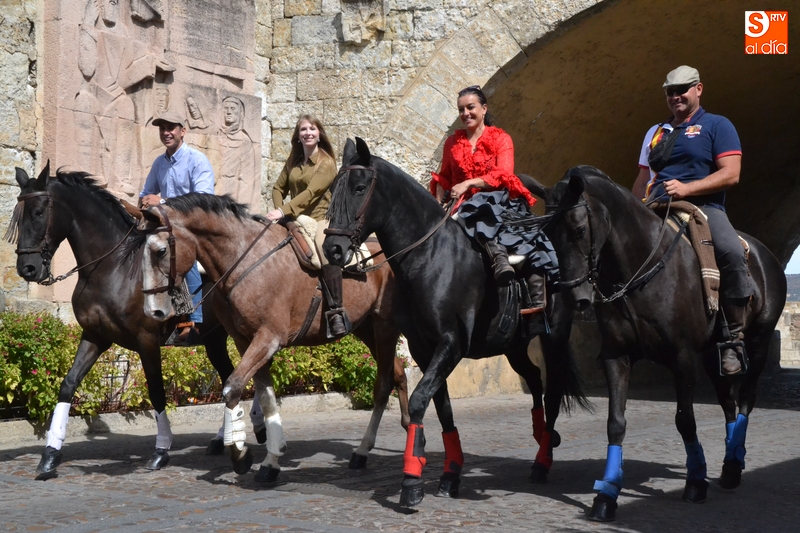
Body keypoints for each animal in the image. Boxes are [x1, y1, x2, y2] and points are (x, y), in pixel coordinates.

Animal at [6, 163, 241, 478]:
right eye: (18, 217)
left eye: (39, 212)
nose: (27, 268)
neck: (112, 267)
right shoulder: (94, 336)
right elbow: (68, 385)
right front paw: (50, 456)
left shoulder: (147, 341)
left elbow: (156, 391)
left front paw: (161, 451)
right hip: (215, 339)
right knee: (229, 377)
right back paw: (222, 438)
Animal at [138, 193, 410, 480]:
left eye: (160, 251)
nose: (153, 310)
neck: (245, 259)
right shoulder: (245, 341)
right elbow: (266, 398)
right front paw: (271, 459)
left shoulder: (268, 339)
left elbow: (232, 387)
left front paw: (240, 454)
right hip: (366, 328)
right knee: (397, 372)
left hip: (384, 326)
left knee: (383, 386)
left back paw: (365, 449)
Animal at [322, 138, 589, 508]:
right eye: (334, 188)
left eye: (360, 188)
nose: (332, 248)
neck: (430, 258)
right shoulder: (424, 349)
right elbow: (442, 408)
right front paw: (449, 474)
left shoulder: (451, 344)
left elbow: (420, 400)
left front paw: (411, 481)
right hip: (513, 345)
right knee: (535, 379)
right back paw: (540, 436)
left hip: (553, 340)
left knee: (550, 393)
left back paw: (542, 461)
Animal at [527, 166, 786, 522]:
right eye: (547, 234)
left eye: (579, 229)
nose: (569, 296)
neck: (639, 271)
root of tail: (764, 255)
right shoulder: (617, 356)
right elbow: (616, 423)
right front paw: (607, 493)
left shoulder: (682, 358)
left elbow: (685, 419)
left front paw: (695, 481)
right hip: (713, 355)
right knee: (728, 402)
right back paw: (728, 461)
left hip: (758, 342)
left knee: (746, 398)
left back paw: (734, 465)